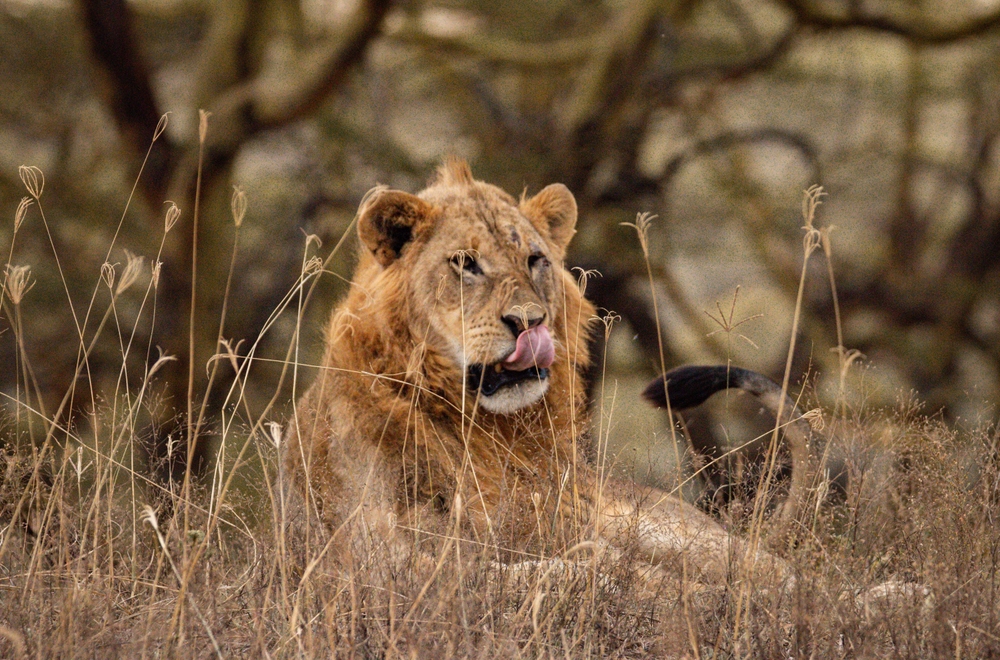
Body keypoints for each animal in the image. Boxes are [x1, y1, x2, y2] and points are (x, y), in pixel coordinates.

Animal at [280, 157, 812, 584]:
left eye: (534, 259)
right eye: (464, 263)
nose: (528, 321)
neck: (485, 429)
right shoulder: (369, 551)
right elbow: (536, 572)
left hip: (667, 529)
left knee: (782, 574)